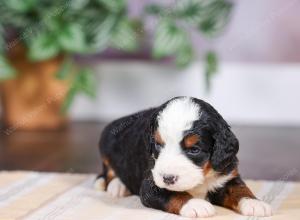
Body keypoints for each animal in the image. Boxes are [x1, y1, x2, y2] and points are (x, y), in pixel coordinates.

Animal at [95, 97, 274, 217]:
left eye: (194, 150)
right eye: (158, 145)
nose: (168, 178)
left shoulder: (227, 173)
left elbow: (239, 189)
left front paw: (254, 203)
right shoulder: (150, 185)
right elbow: (173, 194)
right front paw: (195, 204)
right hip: (106, 144)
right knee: (108, 171)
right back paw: (117, 186)